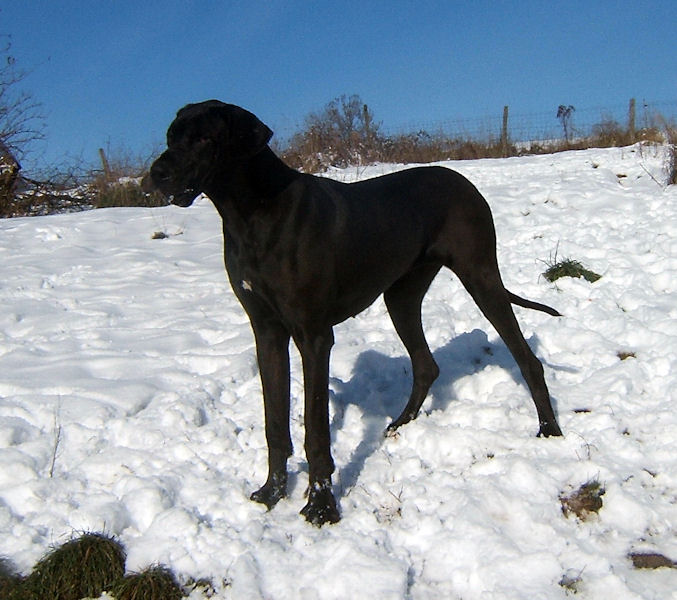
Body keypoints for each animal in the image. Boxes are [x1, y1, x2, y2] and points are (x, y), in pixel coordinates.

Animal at [148, 100, 563, 526]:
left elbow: (316, 431)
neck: (253, 213)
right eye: (171, 136)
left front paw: (321, 505)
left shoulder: (313, 336)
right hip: (401, 296)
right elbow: (274, 422)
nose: (157, 174)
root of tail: (463, 180)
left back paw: (549, 430)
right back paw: (399, 424)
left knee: (527, 359)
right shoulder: (267, 332)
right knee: (426, 365)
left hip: (480, 279)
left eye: (204, 139)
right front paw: (272, 492)